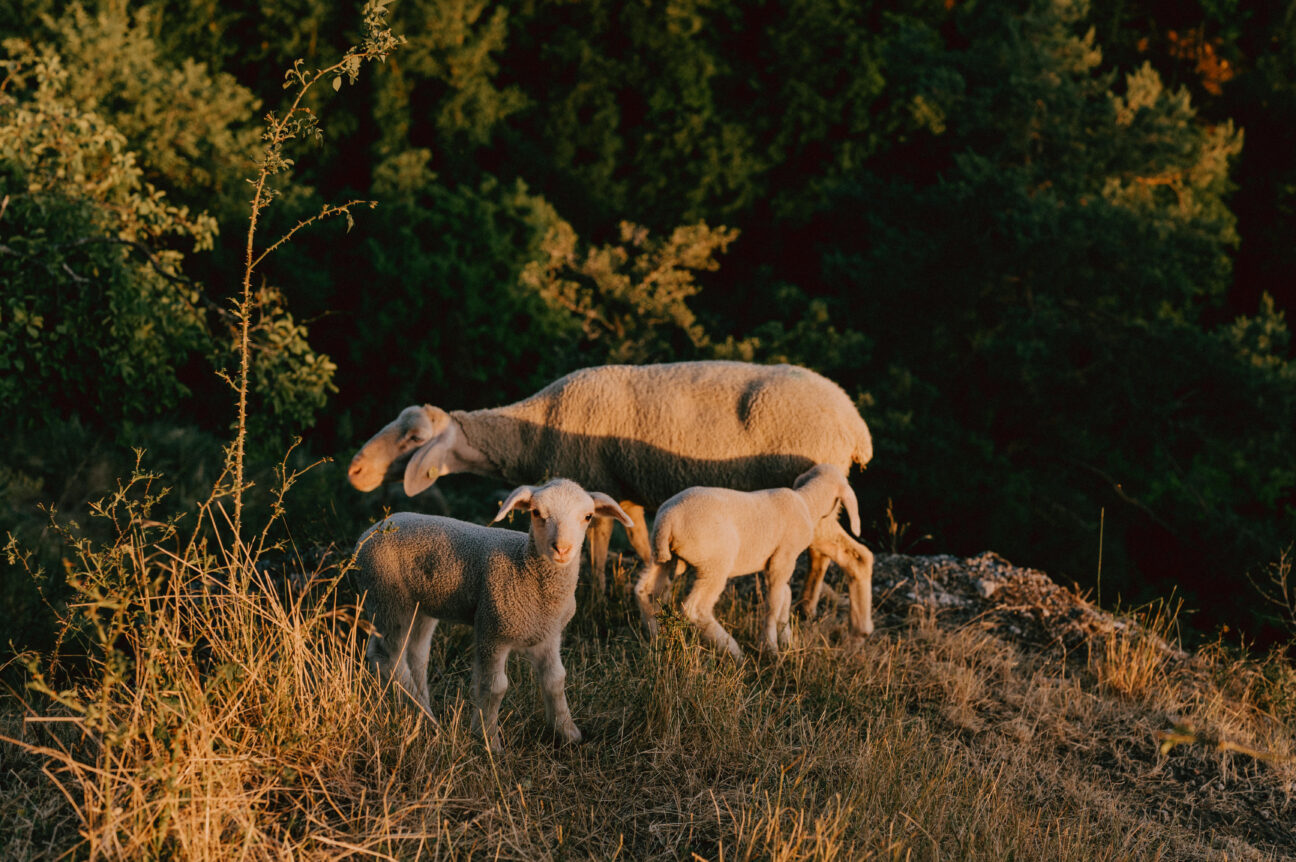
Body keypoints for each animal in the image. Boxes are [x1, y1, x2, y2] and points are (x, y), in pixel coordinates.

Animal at [344, 360, 876, 635]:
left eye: (414, 439)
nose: (356, 471)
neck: (532, 430)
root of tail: (854, 423)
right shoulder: (628, 495)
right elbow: (640, 546)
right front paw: (646, 595)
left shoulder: (592, 479)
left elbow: (598, 550)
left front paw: (598, 598)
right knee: (822, 556)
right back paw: (807, 608)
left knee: (857, 557)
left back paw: (858, 629)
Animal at [355, 474, 637, 751]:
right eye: (536, 512)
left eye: (588, 516)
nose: (562, 549)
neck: (526, 568)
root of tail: (370, 531)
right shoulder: (493, 630)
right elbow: (495, 687)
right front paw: (489, 741)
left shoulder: (548, 634)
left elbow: (556, 680)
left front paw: (568, 733)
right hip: (387, 598)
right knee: (387, 659)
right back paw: (425, 718)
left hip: (419, 607)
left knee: (415, 655)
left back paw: (425, 714)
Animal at [635, 464, 860, 658]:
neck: (808, 503)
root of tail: (667, 520)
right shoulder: (783, 557)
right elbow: (774, 602)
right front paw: (770, 647)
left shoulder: (775, 562)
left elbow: (785, 595)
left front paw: (787, 639)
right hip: (715, 563)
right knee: (696, 609)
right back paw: (733, 650)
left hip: (662, 557)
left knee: (645, 590)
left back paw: (655, 637)